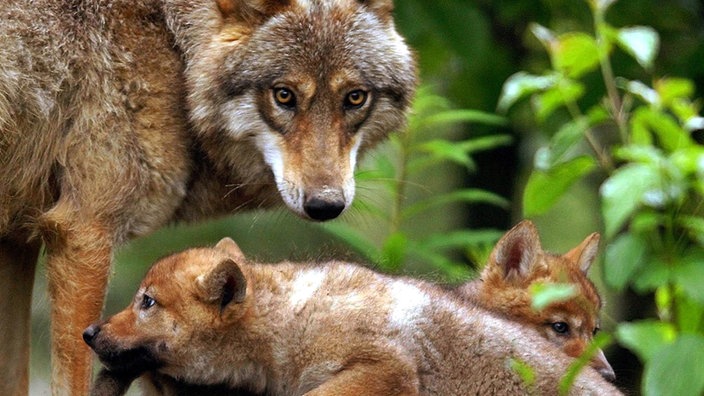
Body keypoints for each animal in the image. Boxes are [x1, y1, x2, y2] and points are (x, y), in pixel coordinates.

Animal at [0, 0, 418, 392]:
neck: (173, 47)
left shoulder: (18, 241)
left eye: (355, 98)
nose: (326, 205)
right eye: (284, 96)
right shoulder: (83, 234)